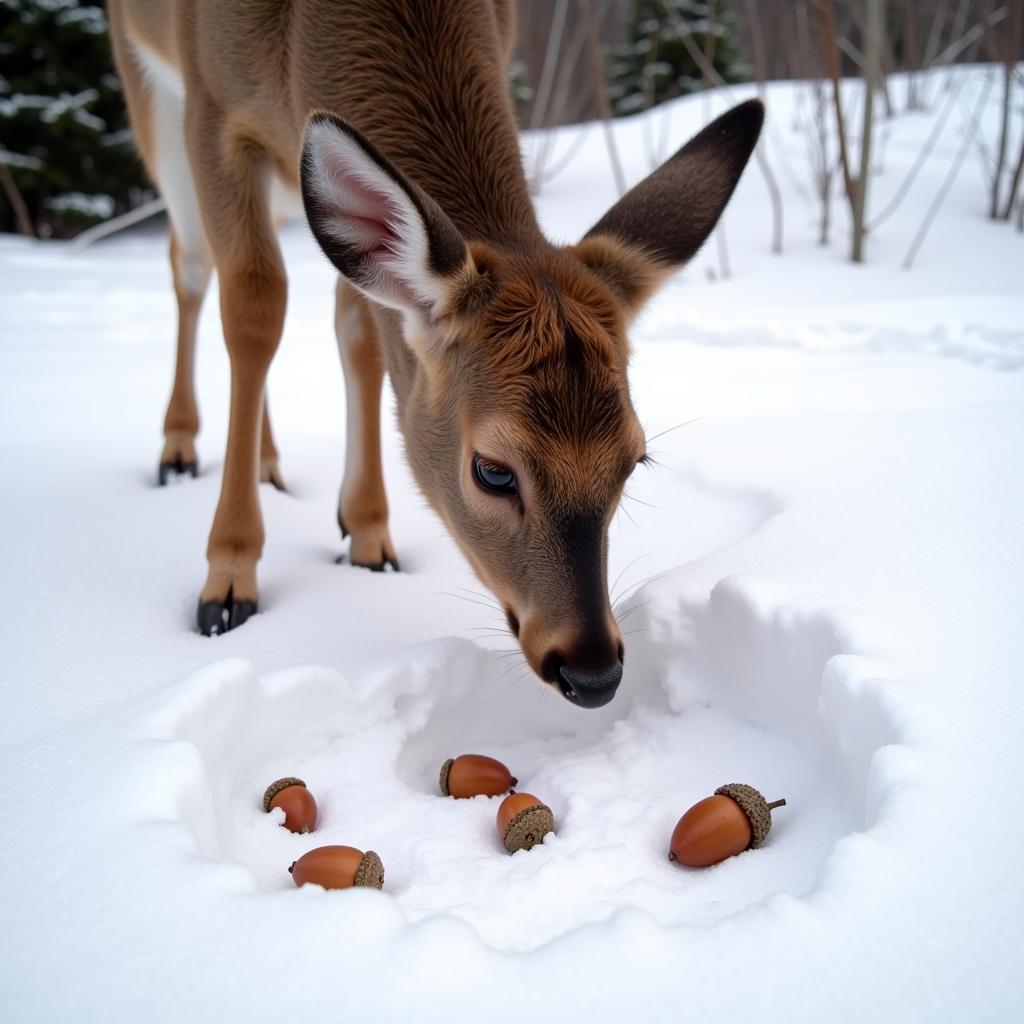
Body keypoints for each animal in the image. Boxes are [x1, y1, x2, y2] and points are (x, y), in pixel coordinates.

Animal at [110, 0, 761, 708]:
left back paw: (270, 464)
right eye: (492, 471)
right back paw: (179, 449)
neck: (302, 35)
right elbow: (255, 309)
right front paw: (228, 580)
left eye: (634, 461)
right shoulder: (213, 103)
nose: (592, 671)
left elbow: (363, 331)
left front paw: (369, 535)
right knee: (191, 266)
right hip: (151, 93)